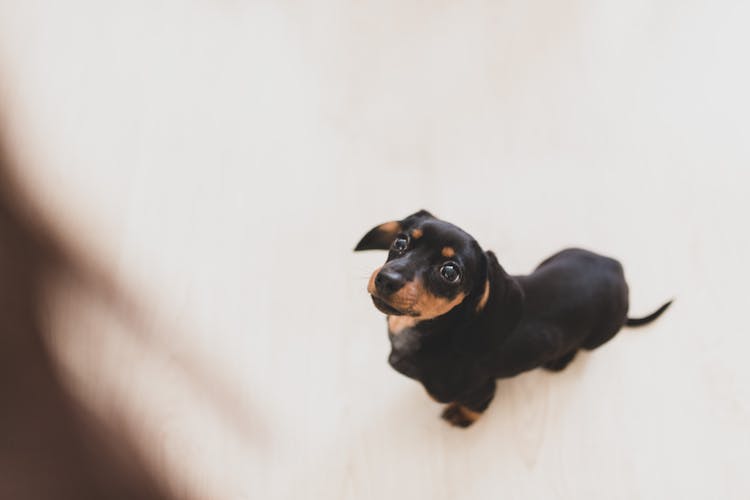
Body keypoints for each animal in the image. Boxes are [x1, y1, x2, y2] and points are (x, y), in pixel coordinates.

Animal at [356, 210, 672, 426]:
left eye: (449, 271)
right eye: (401, 241)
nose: (386, 279)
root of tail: (618, 270)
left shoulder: (481, 388)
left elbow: (474, 405)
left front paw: (462, 417)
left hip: (597, 337)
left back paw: (559, 360)